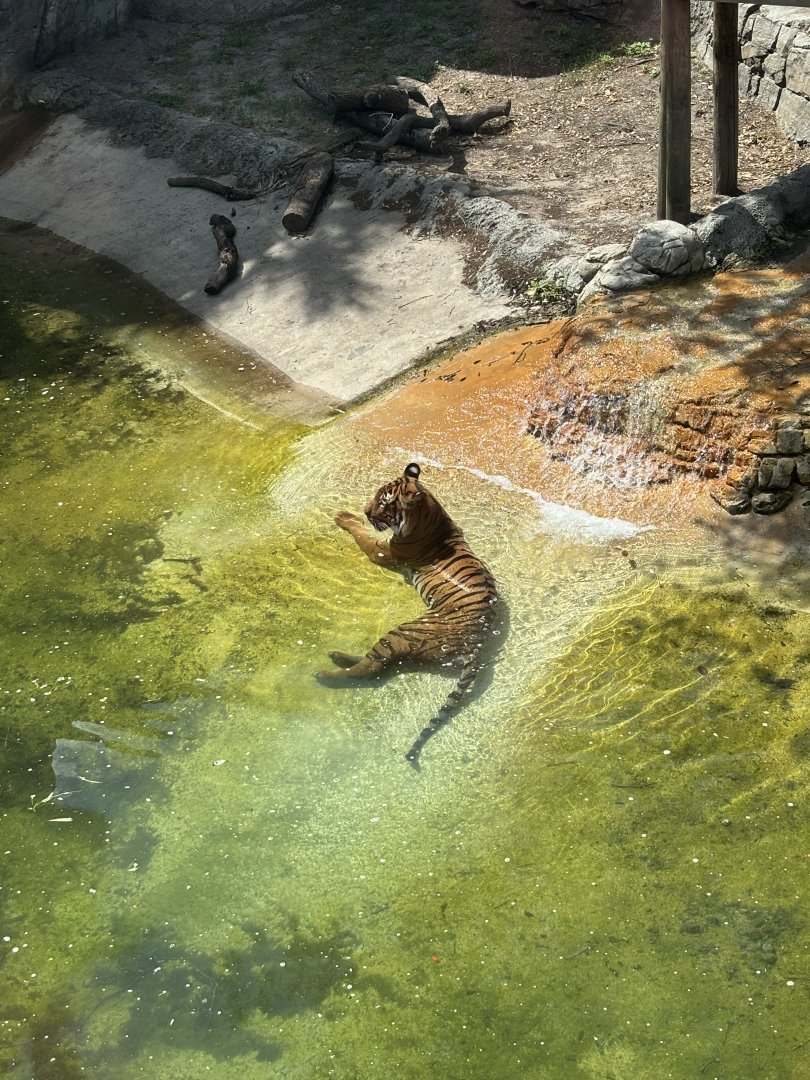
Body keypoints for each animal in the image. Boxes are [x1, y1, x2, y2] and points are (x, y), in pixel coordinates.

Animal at [315, 462, 499, 769]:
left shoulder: (381, 550)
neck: (432, 516)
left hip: (404, 631)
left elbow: (361, 534)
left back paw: (324, 674)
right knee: (377, 661)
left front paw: (344, 517)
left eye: (383, 503)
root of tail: (479, 641)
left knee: (371, 669)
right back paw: (337, 657)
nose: (365, 509)